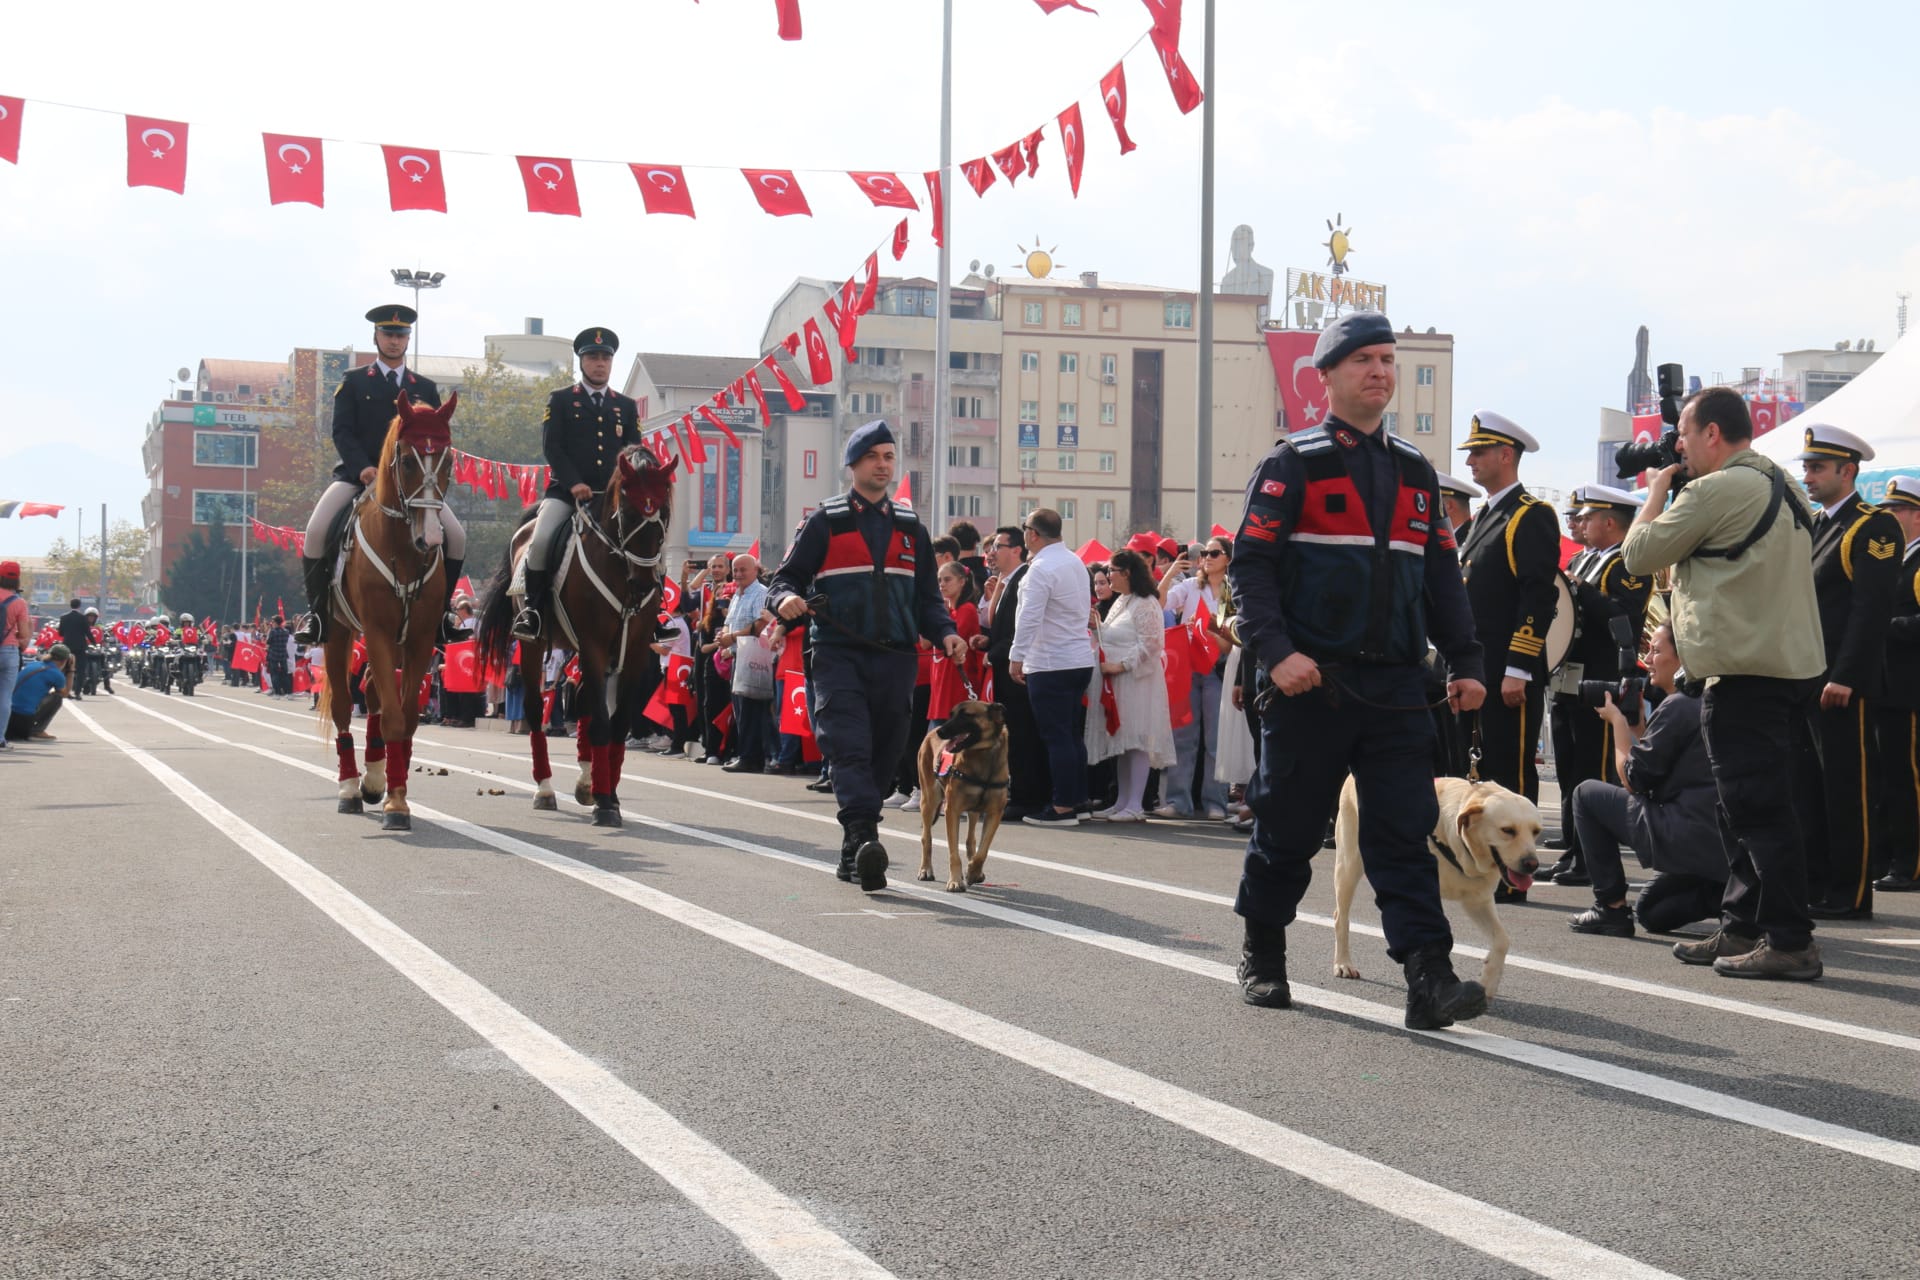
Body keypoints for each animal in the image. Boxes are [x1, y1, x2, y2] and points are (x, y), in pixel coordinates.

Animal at [322, 393, 460, 832]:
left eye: (449, 460)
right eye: (406, 459)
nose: (430, 538)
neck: (402, 548)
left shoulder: (418, 639)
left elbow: (408, 718)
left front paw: (394, 793)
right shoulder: (378, 632)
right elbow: (395, 718)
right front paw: (395, 806)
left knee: (369, 690)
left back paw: (373, 778)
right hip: (338, 632)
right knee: (344, 705)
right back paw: (350, 788)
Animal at [474, 445, 675, 825]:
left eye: (665, 511)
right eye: (629, 512)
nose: (643, 584)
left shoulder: (634, 650)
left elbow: (618, 721)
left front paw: (606, 793)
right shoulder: (594, 644)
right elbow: (601, 721)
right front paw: (606, 803)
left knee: (581, 700)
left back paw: (586, 782)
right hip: (536, 647)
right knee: (536, 709)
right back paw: (545, 790)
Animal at [1336, 771, 1543, 997]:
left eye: (1536, 831)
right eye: (1507, 830)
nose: (1532, 864)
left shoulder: (1478, 901)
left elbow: (1502, 940)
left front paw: (1489, 981)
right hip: (1348, 865)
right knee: (1340, 917)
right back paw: (1343, 963)